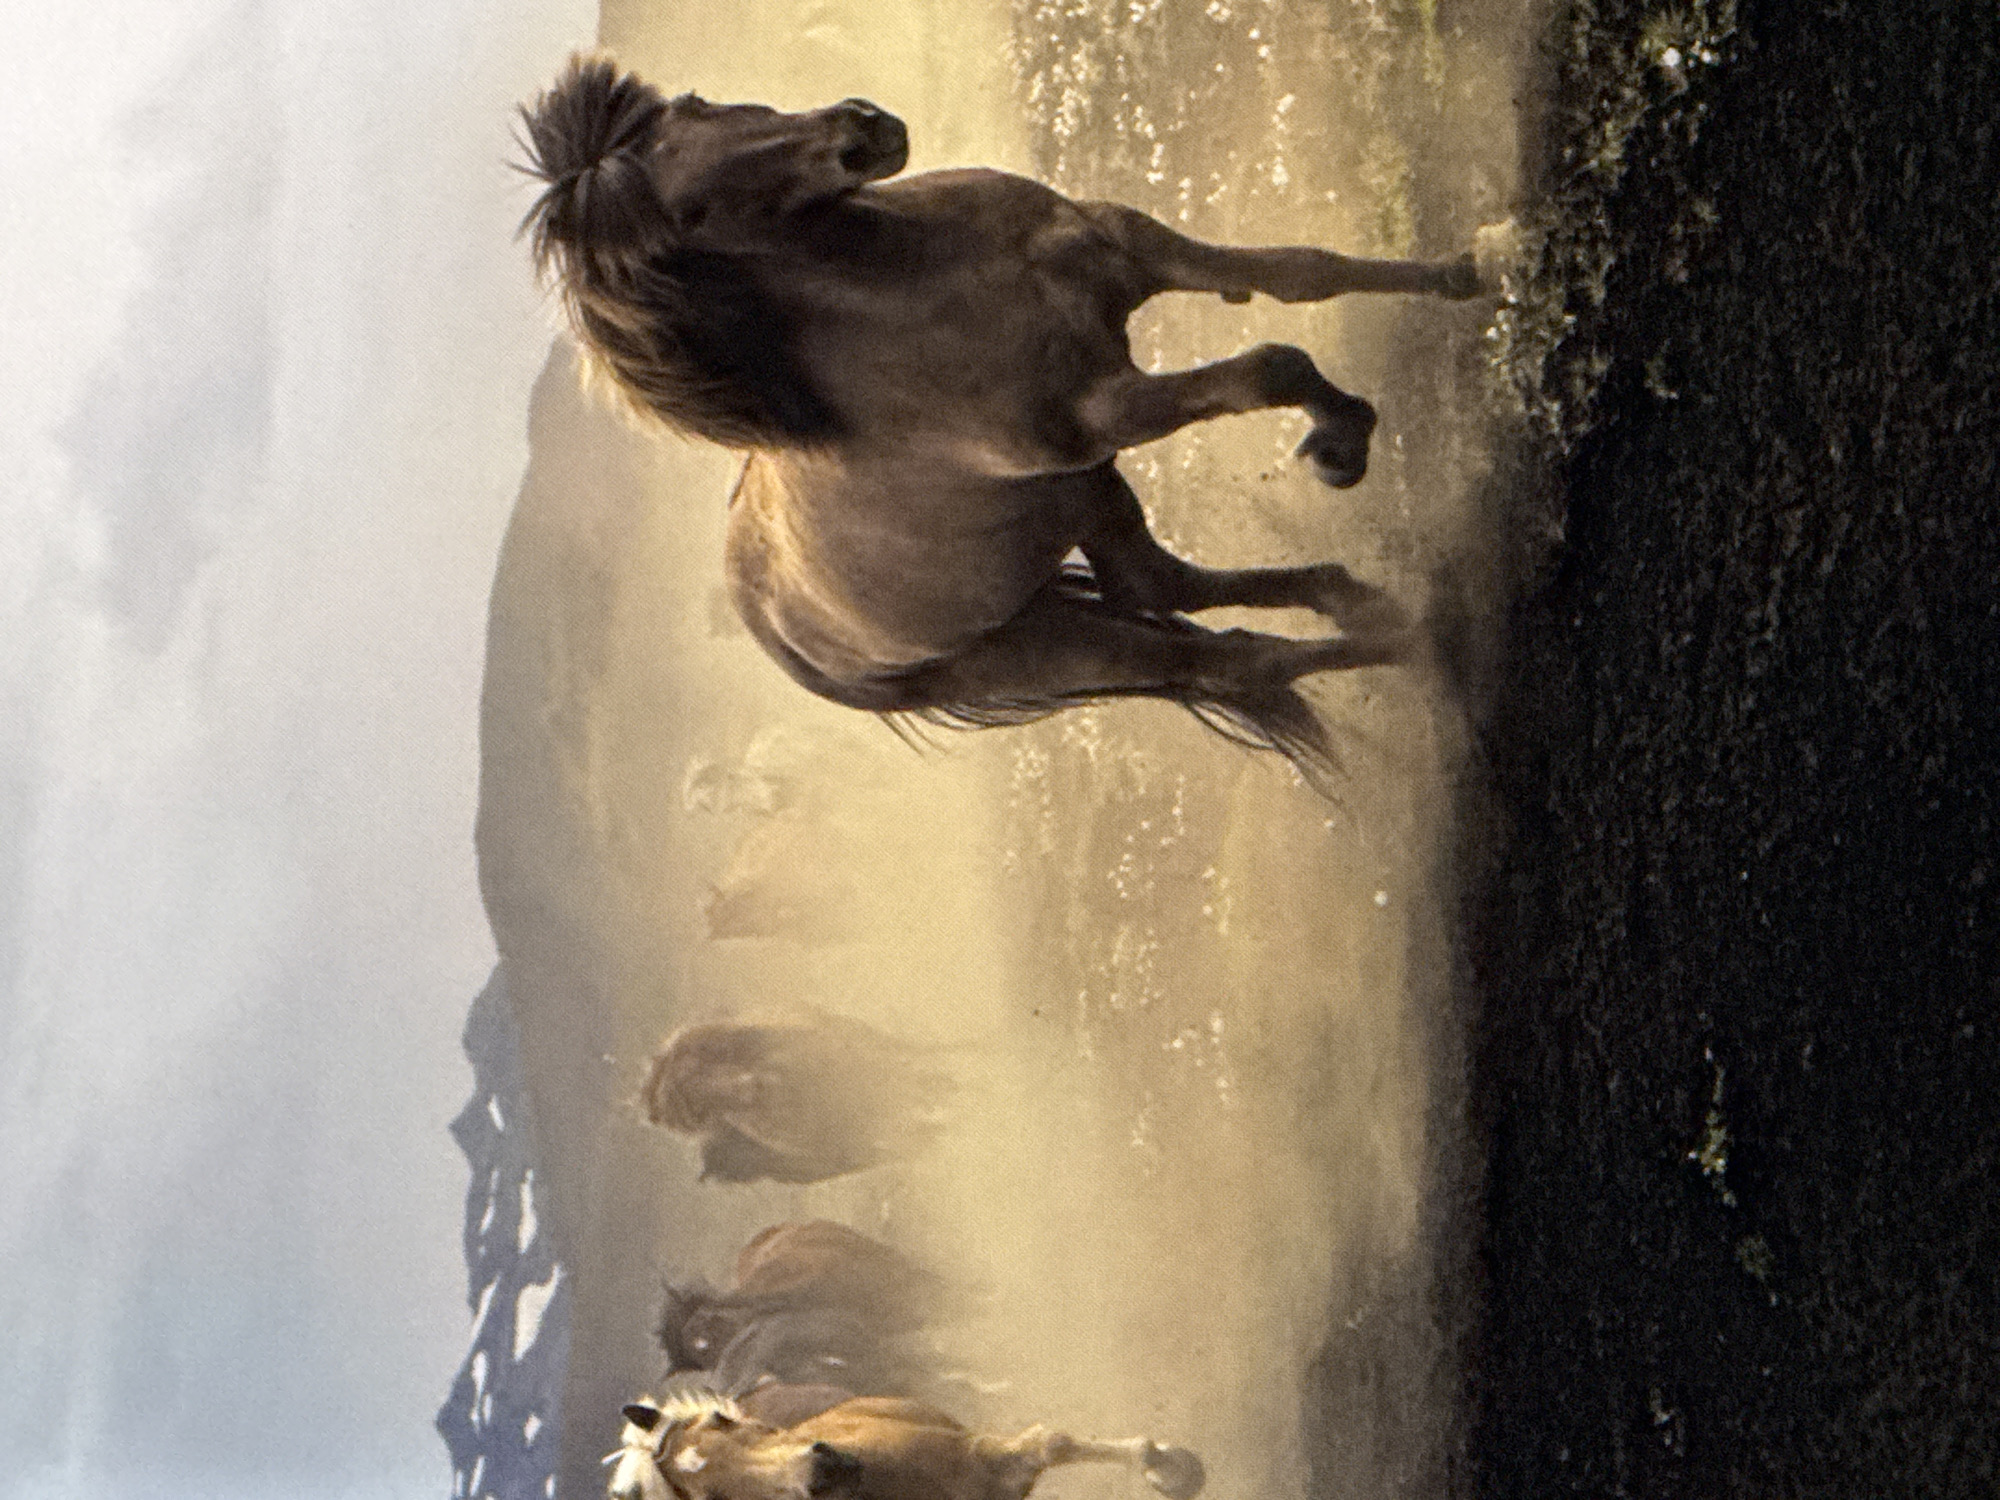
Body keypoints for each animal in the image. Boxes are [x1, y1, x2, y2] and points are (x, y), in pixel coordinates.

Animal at [518, 56, 1495, 787]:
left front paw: (1472, 270)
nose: (859, 133)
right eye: (689, 215)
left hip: (1074, 500)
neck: (929, 278)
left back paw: (1363, 602)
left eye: (695, 103)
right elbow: (1267, 367)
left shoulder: (1131, 247)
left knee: (1161, 584)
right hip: (1048, 630)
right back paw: (1414, 640)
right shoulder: (1103, 412)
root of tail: (786, 642)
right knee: (1232, 657)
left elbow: (1301, 272)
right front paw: (1341, 442)